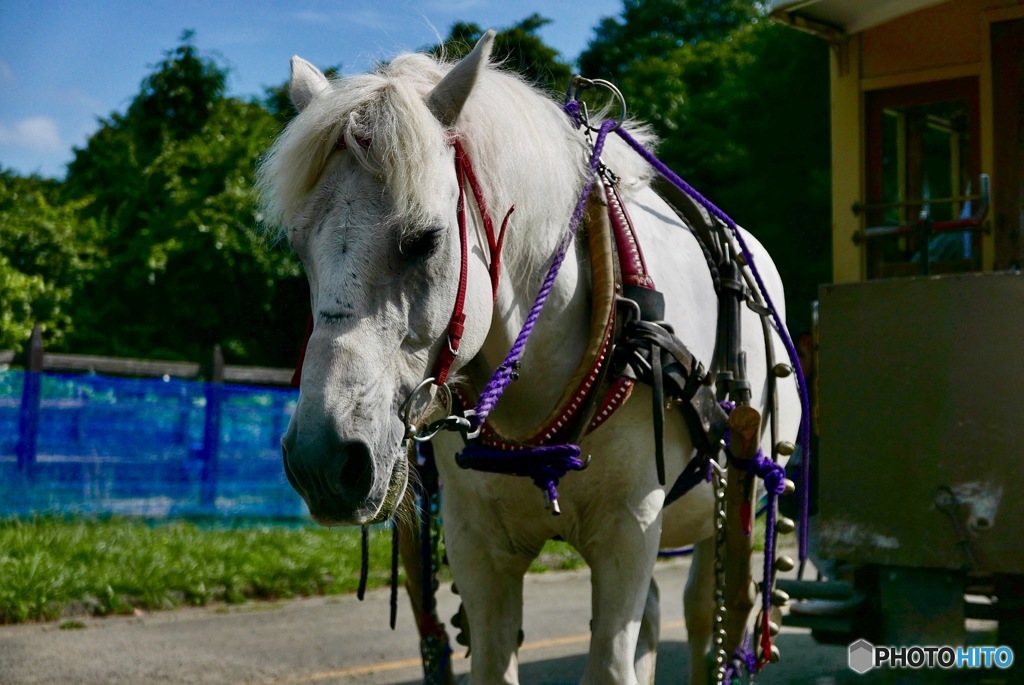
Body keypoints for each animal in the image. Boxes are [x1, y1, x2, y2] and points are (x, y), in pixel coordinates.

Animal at [256, 29, 798, 679]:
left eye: (424, 240)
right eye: (298, 246)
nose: (323, 458)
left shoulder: (630, 527)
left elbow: (613, 663)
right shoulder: (478, 546)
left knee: (705, 616)